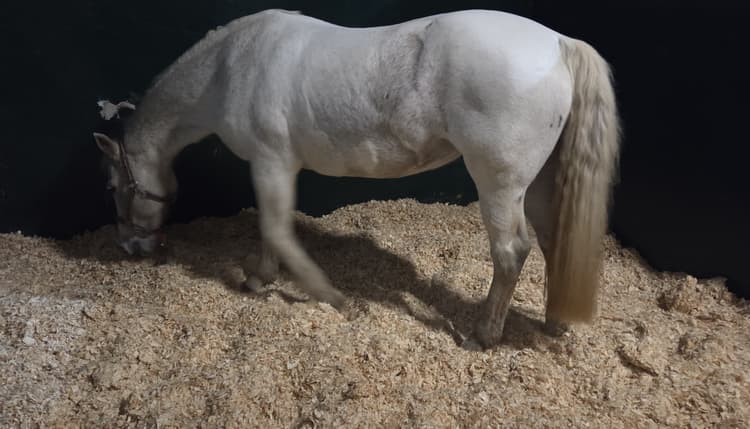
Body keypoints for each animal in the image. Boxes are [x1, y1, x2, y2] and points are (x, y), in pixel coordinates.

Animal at [93, 9, 620, 348]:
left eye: (114, 188)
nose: (131, 247)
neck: (230, 66)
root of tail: (558, 43)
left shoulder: (270, 163)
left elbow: (277, 231)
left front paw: (324, 296)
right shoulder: (273, 167)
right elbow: (271, 230)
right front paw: (263, 277)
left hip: (501, 185)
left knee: (511, 252)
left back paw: (483, 336)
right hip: (541, 184)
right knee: (553, 240)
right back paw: (554, 325)